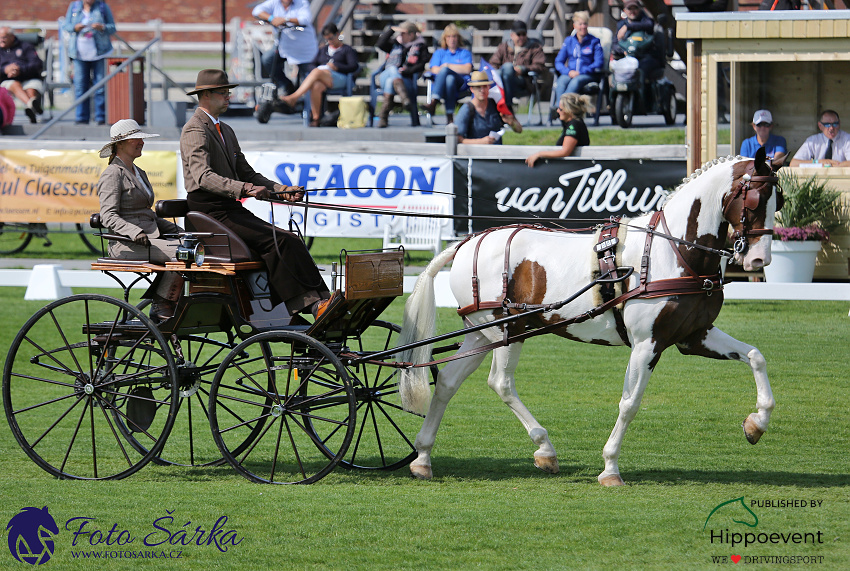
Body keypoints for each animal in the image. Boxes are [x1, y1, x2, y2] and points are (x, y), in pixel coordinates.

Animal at [398, 150, 780, 484]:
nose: (759, 260)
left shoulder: (695, 335)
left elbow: (756, 356)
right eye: (753, 200)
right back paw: (545, 448)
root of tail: (468, 241)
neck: (672, 251)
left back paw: (423, 457)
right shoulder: (647, 344)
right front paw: (610, 467)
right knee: (501, 383)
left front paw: (757, 423)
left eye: (780, 201)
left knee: (448, 382)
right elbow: (630, 403)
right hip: (508, 331)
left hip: (480, 333)